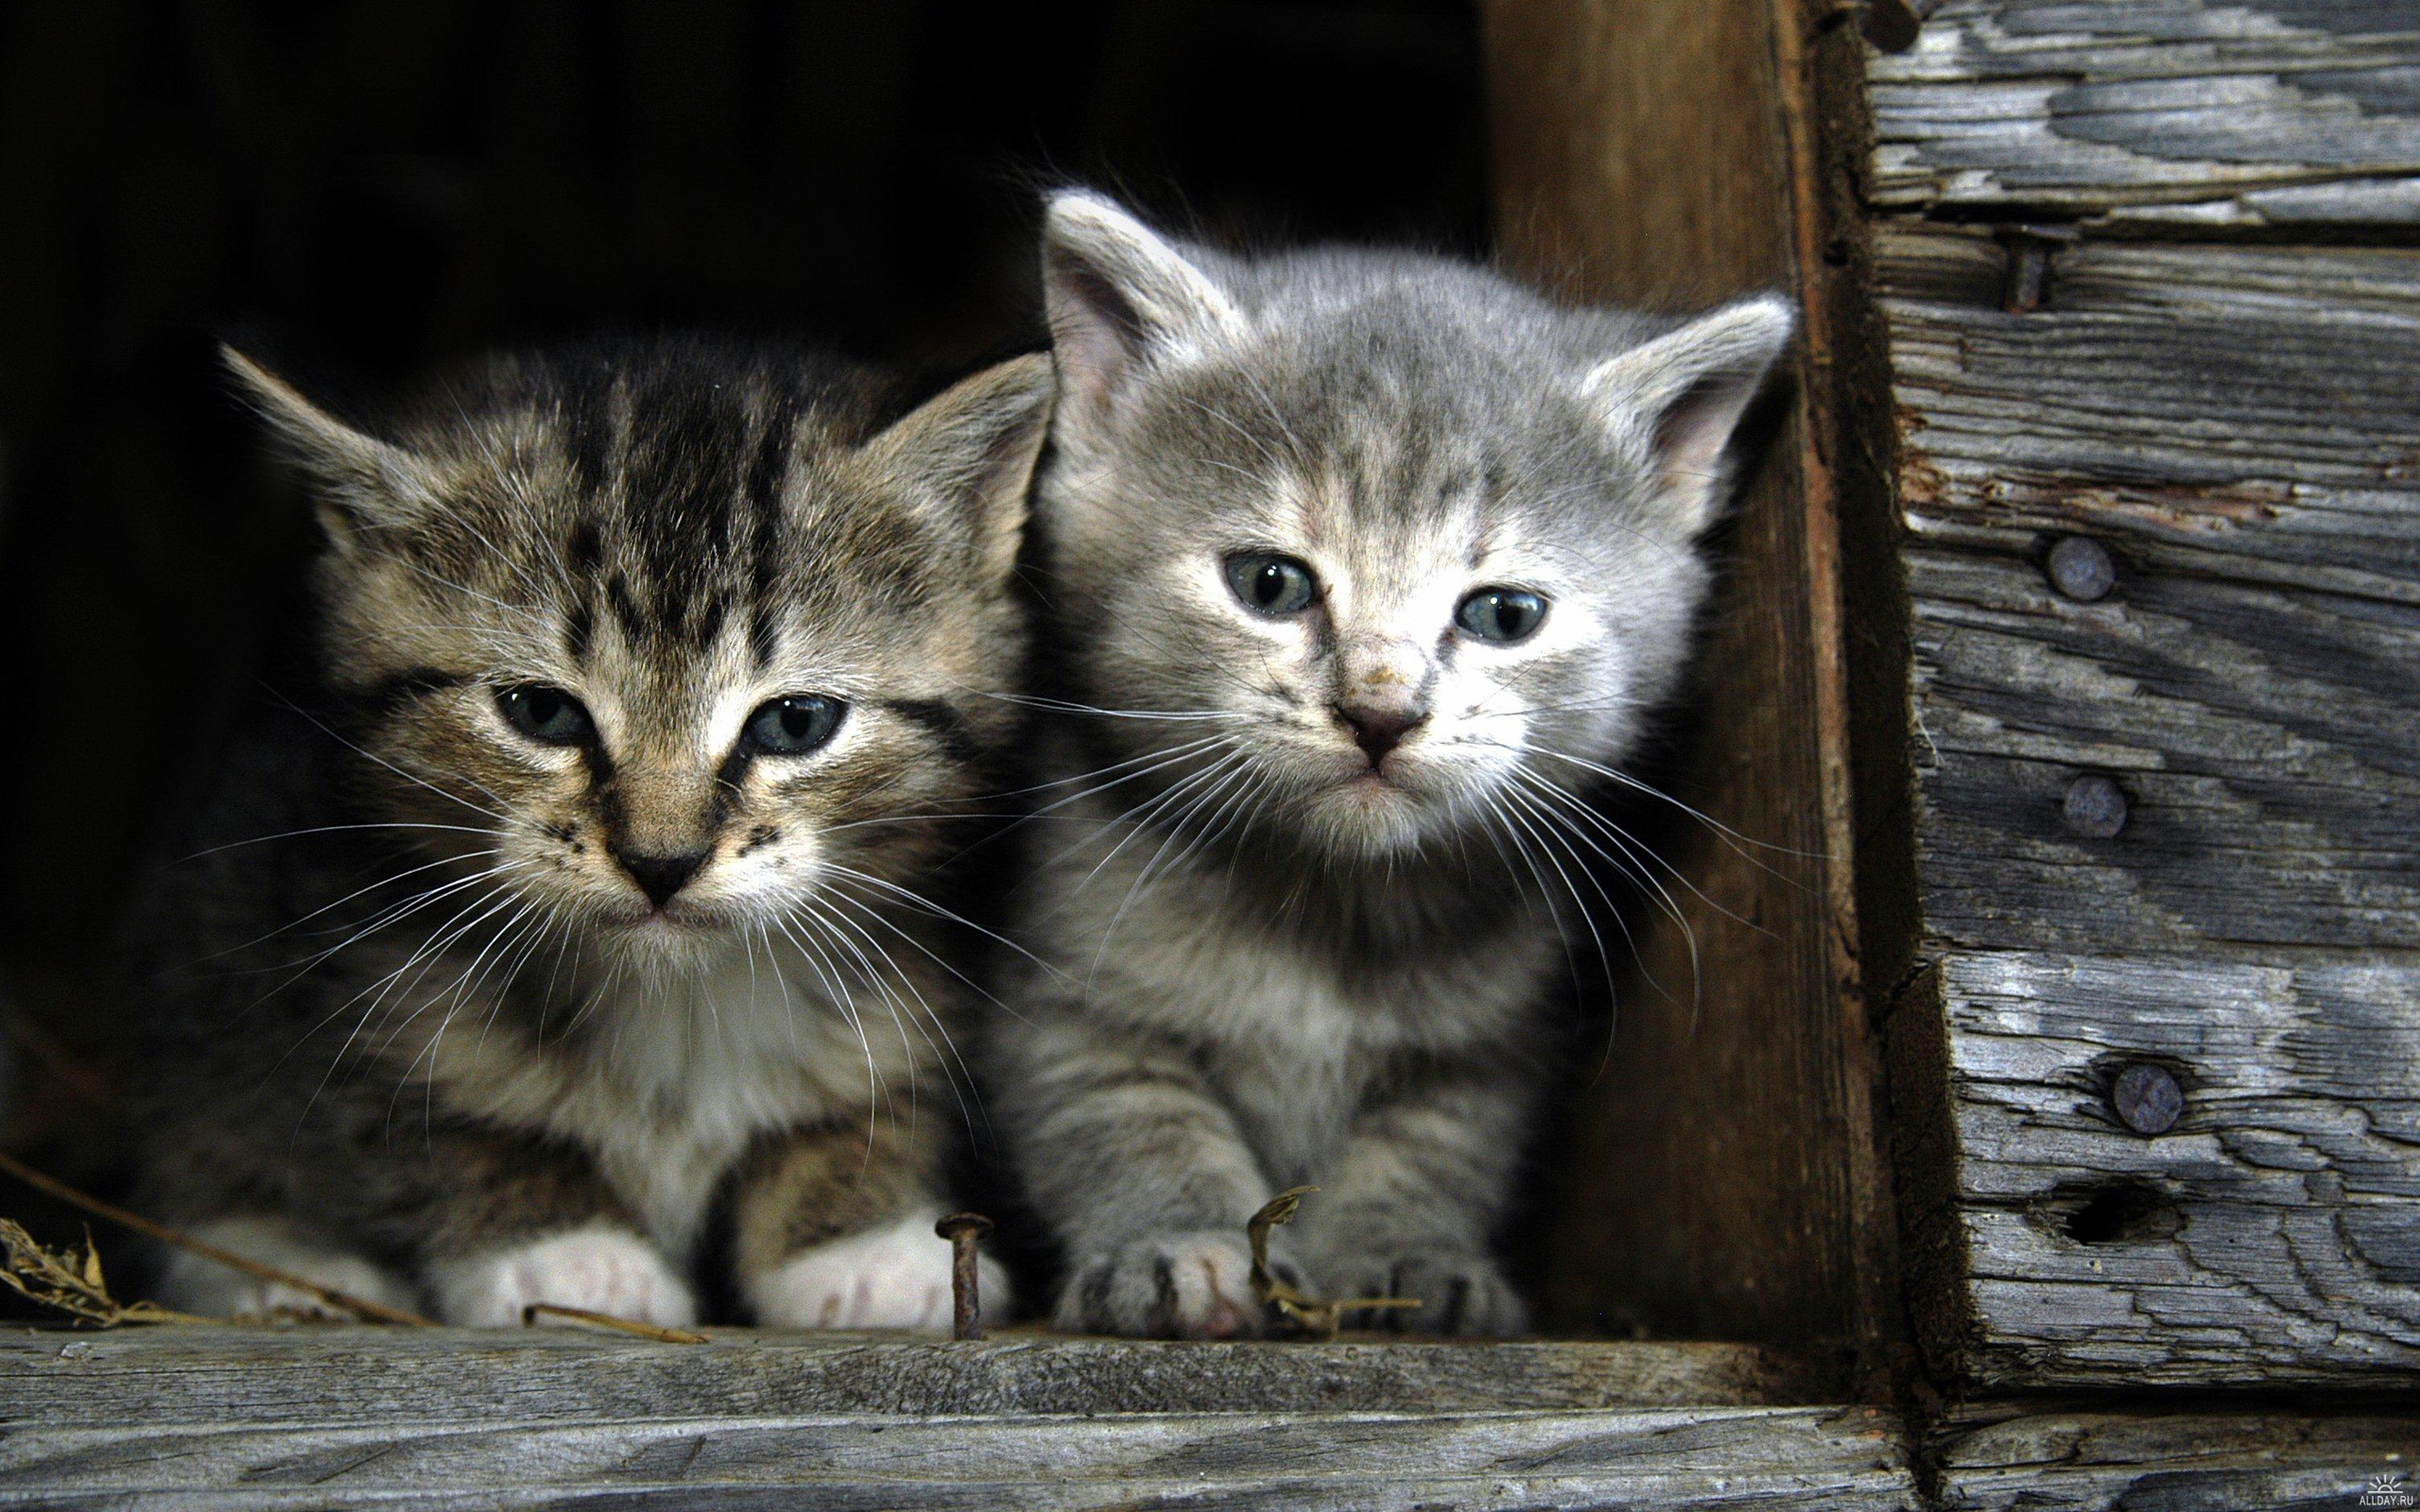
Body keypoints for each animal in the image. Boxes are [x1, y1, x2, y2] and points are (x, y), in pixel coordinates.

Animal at [128, 335, 1045, 1325]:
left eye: (795, 723)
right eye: (541, 713)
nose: (662, 861)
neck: (677, 1003)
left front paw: (859, 1240)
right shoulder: (342, 956)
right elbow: (425, 1114)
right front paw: (564, 1251)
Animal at [987, 188, 1800, 1335]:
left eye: (1506, 614)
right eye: (1269, 583)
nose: (1381, 710)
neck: (1331, 911)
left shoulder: (1492, 1047)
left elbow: (1434, 1148)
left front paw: (1405, 1258)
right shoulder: (1060, 991)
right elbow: (1123, 1115)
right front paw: (1183, 1243)